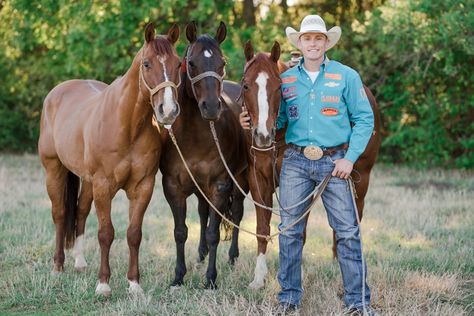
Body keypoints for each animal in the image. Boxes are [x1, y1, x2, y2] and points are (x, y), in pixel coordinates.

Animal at [37, 22, 181, 296]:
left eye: (179, 64)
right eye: (147, 64)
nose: (167, 111)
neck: (127, 125)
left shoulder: (142, 187)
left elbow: (134, 234)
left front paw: (134, 284)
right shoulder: (104, 185)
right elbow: (106, 233)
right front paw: (103, 284)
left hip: (87, 180)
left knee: (80, 212)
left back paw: (80, 262)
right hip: (55, 170)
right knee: (60, 214)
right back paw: (58, 267)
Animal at [160, 21, 248, 288]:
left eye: (223, 63)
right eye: (190, 63)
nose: (210, 107)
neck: (195, 137)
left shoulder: (220, 185)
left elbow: (213, 233)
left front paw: (210, 279)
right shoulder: (173, 187)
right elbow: (180, 232)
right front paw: (178, 276)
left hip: (241, 180)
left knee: (236, 213)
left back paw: (232, 257)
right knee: (202, 212)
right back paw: (201, 254)